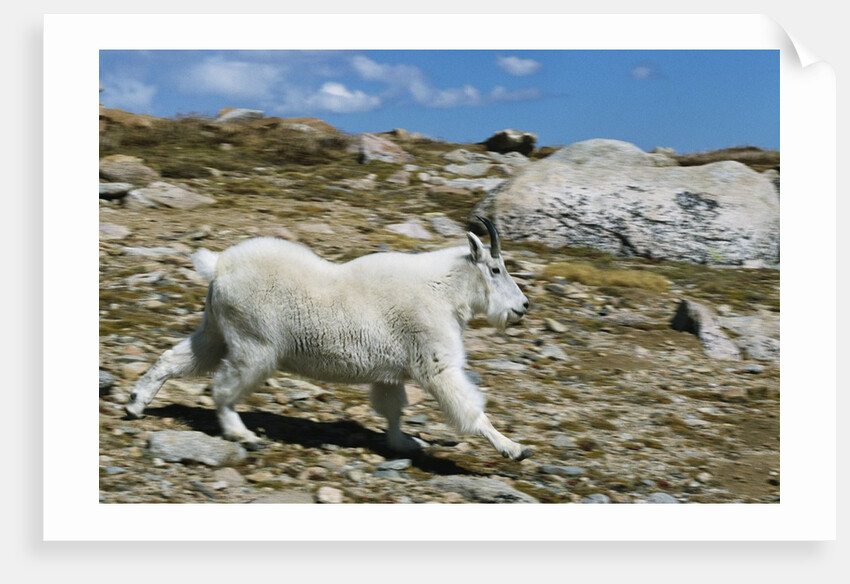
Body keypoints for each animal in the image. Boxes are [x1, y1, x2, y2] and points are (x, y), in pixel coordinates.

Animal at [125, 217, 533, 460]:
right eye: (496, 269)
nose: (524, 306)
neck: (444, 290)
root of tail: (220, 267)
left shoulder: (390, 374)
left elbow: (393, 409)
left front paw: (405, 443)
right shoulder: (435, 360)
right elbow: (467, 406)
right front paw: (513, 447)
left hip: (215, 330)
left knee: (179, 357)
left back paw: (136, 402)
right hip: (255, 344)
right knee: (224, 386)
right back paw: (243, 434)